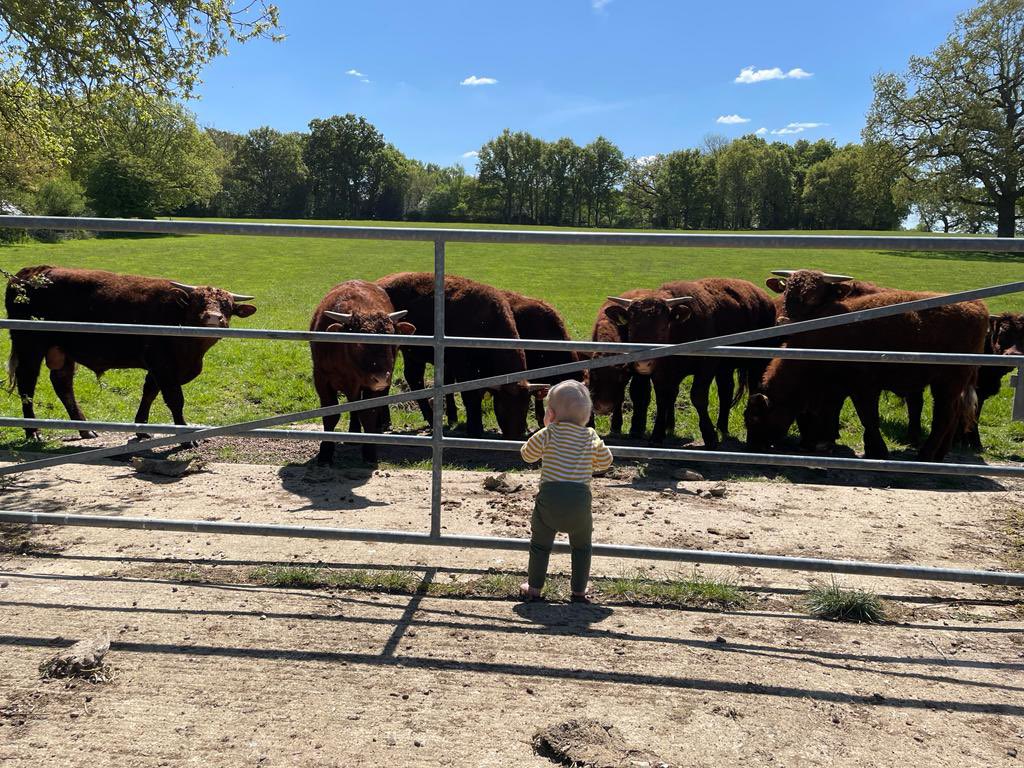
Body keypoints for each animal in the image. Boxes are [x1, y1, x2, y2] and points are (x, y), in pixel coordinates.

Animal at [5, 265, 256, 443]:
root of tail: (31, 271)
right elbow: (175, 399)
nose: (213, 317)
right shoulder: (163, 365)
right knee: (27, 384)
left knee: (63, 384)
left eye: (227, 306)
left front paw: (142, 430)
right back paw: (33, 432)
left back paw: (85, 429)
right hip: (30, 346)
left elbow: (149, 393)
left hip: (62, 351)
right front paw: (185, 438)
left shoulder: (158, 368)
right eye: (197, 303)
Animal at [310, 280, 416, 465]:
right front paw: (325, 452)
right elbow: (330, 415)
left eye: (393, 339)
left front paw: (369, 451)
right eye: (359, 342)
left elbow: (368, 414)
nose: (381, 378)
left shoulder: (371, 387)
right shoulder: (321, 379)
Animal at [376, 272, 544, 439]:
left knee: (412, 378)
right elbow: (470, 396)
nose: (514, 435)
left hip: (412, 354)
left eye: (525, 407)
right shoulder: (463, 369)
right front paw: (475, 429)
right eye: (503, 406)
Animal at [604, 278, 777, 447]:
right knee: (725, 391)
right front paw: (657, 434)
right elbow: (662, 399)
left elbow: (698, 397)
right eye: (631, 328)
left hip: (756, 364)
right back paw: (722, 428)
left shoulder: (706, 367)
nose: (643, 363)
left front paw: (709, 436)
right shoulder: (661, 373)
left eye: (662, 328)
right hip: (724, 368)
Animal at [745, 290, 989, 462]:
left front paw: (878, 451)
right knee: (954, 414)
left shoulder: (863, 389)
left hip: (947, 383)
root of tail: (977, 306)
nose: (752, 446)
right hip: (952, 386)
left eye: (756, 418)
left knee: (944, 416)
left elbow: (868, 418)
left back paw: (925, 455)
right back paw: (939, 454)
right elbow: (829, 415)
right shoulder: (837, 392)